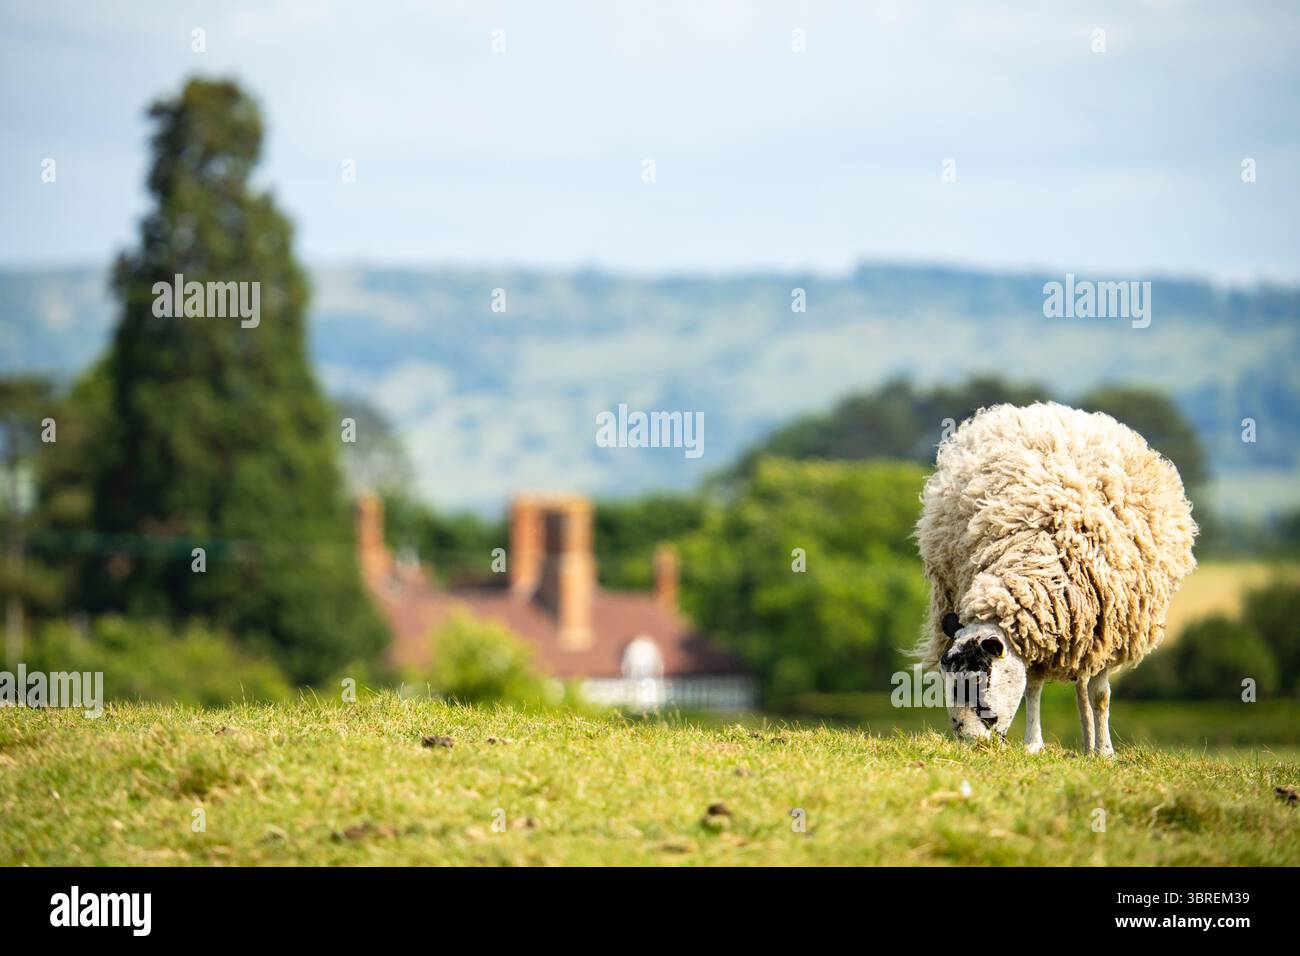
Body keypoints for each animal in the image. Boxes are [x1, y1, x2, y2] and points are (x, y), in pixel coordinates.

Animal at [915, 402, 1197, 756]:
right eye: (946, 678)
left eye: (984, 677)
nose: (970, 743)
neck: (1032, 549)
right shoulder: (1039, 627)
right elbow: (1033, 686)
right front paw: (1034, 744)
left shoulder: (1109, 628)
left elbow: (1101, 695)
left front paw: (1105, 752)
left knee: (1088, 688)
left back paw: (1093, 746)